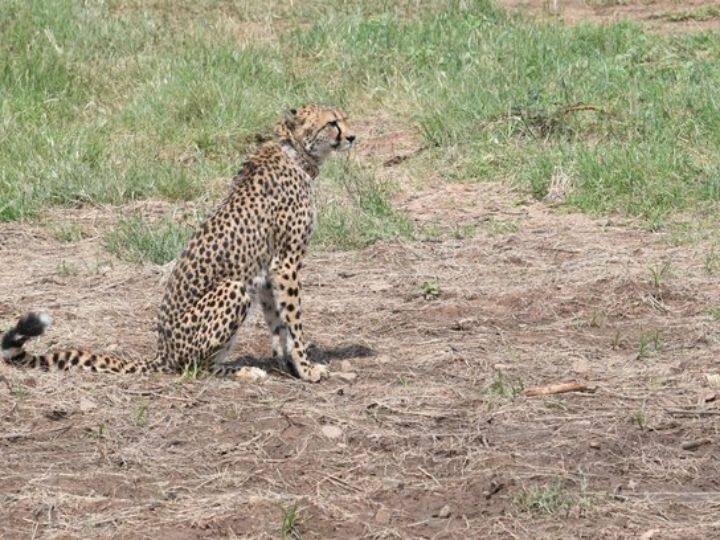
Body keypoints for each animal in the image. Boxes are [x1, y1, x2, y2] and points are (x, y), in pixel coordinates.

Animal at [1, 104, 355, 382]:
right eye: (332, 123)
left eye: (344, 119)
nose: (352, 137)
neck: (295, 152)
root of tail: (163, 352)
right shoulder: (286, 262)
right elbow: (293, 321)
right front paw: (307, 369)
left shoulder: (268, 270)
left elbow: (278, 323)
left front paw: (289, 365)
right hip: (234, 288)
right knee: (194, 367)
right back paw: (242, 371)